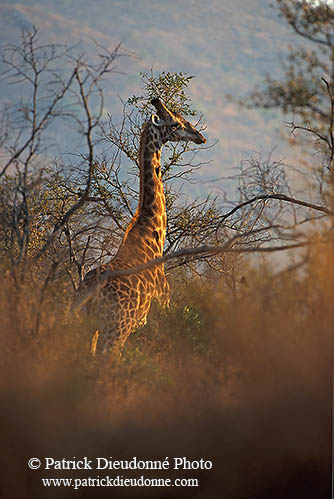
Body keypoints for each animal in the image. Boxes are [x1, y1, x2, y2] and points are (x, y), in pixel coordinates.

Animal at [77, 97, 206, 358]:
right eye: (175, 123)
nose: (200, 136)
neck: (152, 232)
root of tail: (90, 292)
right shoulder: (163, 306)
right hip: (116, 329)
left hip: (83, 326)